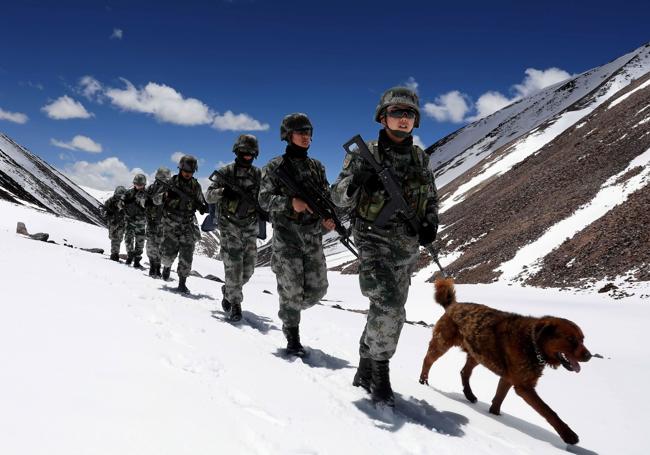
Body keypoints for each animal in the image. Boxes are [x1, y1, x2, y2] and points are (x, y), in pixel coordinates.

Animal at [418, 278, 588, 446]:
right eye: (571, 340)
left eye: (582, 339)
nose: (589, 355)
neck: (532, 344)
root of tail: (453, 305)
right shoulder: (524, 386)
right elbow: (547, 410)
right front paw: (568, 435)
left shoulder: (508, 378)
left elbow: (499, 398)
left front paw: (495, 414)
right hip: (443, 343)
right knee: (428, 360)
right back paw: (423, 381)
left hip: (477, 353)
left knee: (464, 371)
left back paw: (469, 395)